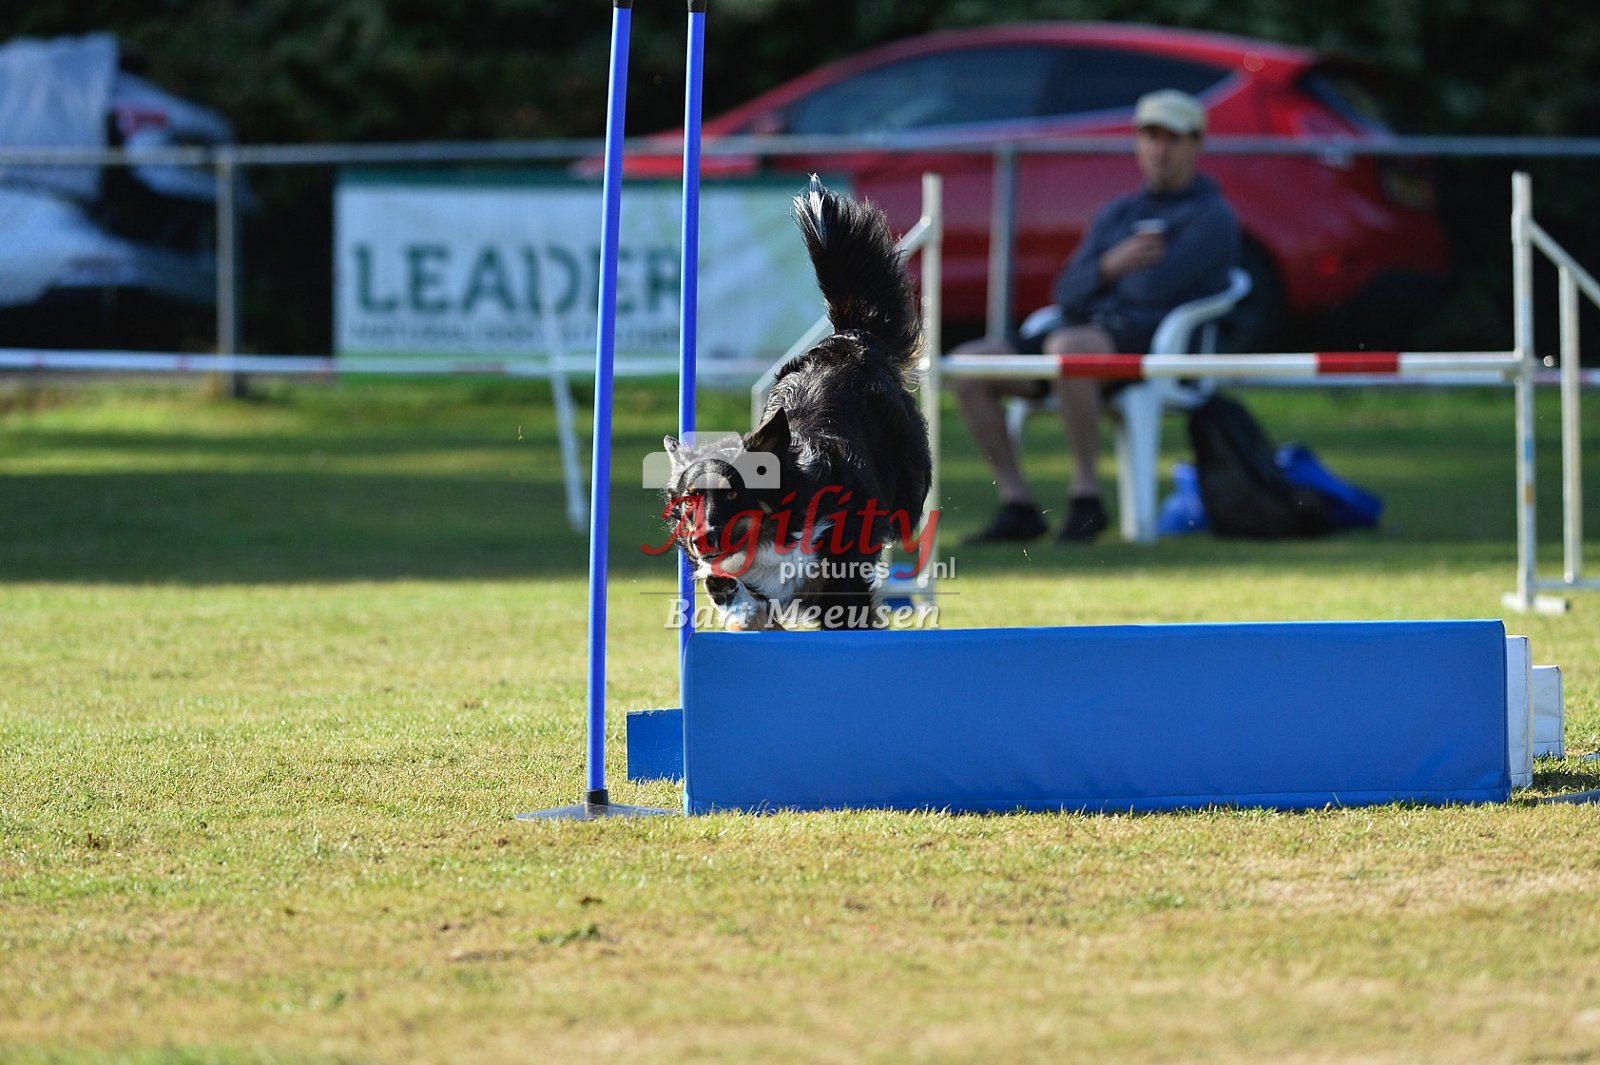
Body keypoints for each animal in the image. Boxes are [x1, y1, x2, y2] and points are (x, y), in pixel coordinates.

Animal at [661, 177, 931, 630]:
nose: (700, 539)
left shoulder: (842, 576)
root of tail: (849, 337)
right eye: (690, 501)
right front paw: (741, 609)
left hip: (909, 482)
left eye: (734, 495)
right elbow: (724, 580)